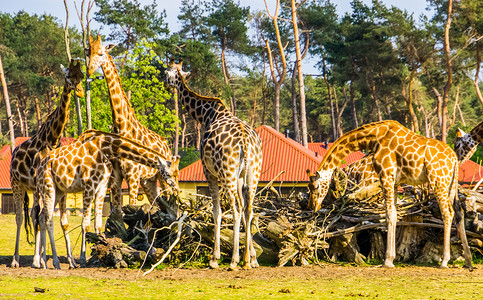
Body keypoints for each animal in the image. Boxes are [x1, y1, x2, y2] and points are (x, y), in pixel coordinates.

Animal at [9, 59, 84, 268]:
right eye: (68, 75)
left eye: (82, 75)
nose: (80, 91)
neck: (51, 139)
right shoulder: (40, 184)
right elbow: (39, 217)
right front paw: (40, 259)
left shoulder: (59, 186)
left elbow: (62, 221)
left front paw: (70, 261)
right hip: (17, 184)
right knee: (22, 217)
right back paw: (17, 260)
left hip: (33, 188)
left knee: (35, 215)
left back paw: (39, 258)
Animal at [32, 129, 180, 270]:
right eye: (168, 173)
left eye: (177, 172)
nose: (177, 189)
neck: (105, 148)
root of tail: (39, 166)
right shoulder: (89, 185)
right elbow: (85, 224)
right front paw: (83, 259)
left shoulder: (102, 186)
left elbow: (98, 224)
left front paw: (100, 251)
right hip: (48, 186)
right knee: (48, 220)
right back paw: (55, 263)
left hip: (59, 191)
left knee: (41, 218)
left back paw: (43, 262)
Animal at [88, 35, 177, 220]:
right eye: (88, 51)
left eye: (101, 53)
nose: (90, 70)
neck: (122, 126)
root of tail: (167, 146)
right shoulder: (116, 178)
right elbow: (117, 213)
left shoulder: (133, 177)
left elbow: (131, 209)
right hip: (148, 180)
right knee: (155, 203)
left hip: (161, 177)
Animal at [164, 61, 262, 272]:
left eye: (166, 73)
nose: (166, 84)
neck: (206, 115)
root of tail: (245, 141)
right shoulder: (240, 176)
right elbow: (244, 211)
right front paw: (252, 258)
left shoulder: (208, 171)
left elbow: (216, 212)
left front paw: (215, 258)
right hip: (252, 173)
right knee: (248, 208)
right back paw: (246, 261)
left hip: (227, 172)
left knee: (236, 209)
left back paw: (233, 261)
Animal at [306, 120, 472, 268]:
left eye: (315, 186)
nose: (312, 207)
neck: (374, 138)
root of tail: (454, 159)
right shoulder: (395, 181)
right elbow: (395, 214)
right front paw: (392, 258)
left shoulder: (386, 176)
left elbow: (389, 215)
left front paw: (387, 260)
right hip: (451, 183)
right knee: (458, 212)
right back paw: (467, 261)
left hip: (438, 181)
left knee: (447, 213)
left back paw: (444, 261)